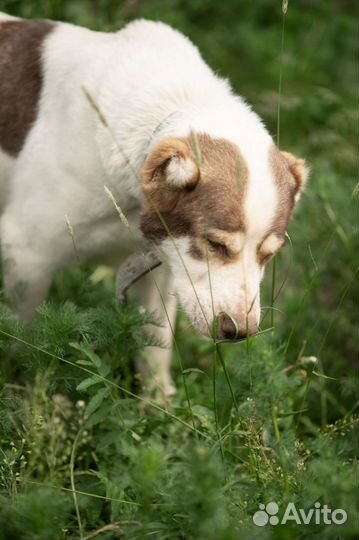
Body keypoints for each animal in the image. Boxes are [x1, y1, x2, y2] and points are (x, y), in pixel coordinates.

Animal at [0, 13, 310, 400]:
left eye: (269, 255)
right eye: (215, 244)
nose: (239, 331)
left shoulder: (162, 264)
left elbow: (155, 342)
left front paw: (158, 404)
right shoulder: (27, 254)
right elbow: (24, 345)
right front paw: (26, 397)